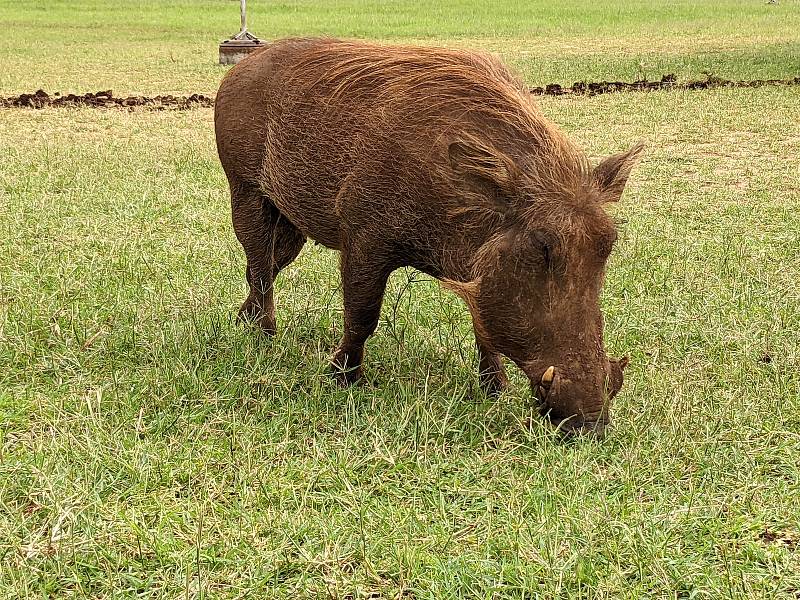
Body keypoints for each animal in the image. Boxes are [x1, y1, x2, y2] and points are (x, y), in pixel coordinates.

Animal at [216, 39, 640, 438]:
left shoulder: (475, 267)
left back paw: (244, 320)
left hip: (291, 225)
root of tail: (241, 68)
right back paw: (264, 337)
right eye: (543, 247)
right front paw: (344, 379)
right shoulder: (364, 238)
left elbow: (483, 327)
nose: (590, 425)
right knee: (259, 266)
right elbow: (362, 315)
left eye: (608, 243)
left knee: (265, 267)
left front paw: (495, 390)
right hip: (247, 192)